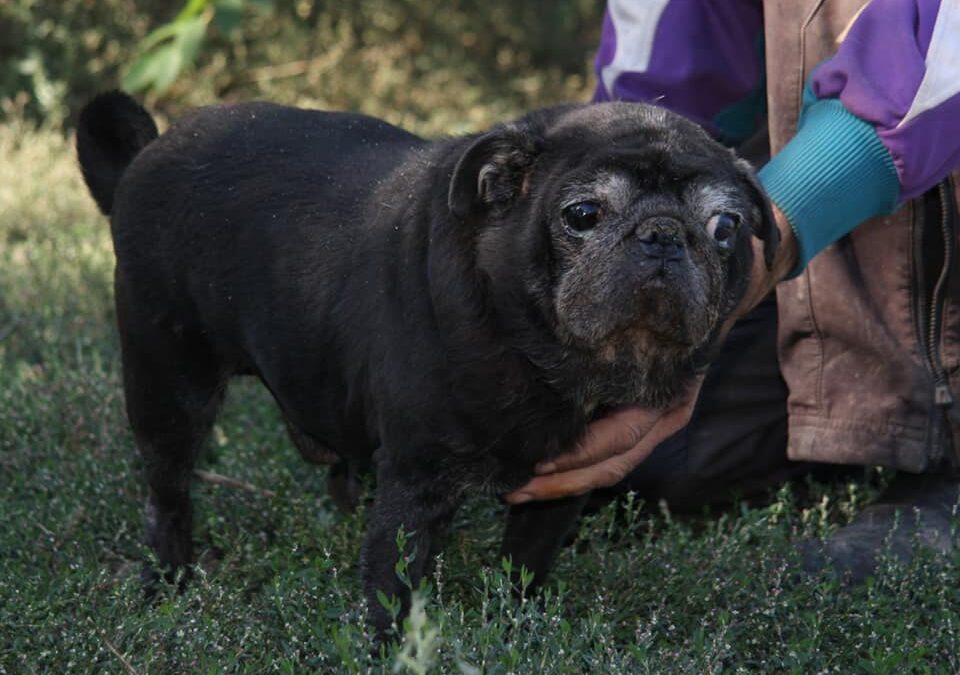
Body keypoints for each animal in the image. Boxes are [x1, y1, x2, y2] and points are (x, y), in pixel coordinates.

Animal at [77, 92, 780, 636]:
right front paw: (392, 648)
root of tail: (145, 154)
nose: (663, 235)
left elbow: (527, 559)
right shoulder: (419, 477)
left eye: (726, 227)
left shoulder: (562, 486)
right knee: (168, 490)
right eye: (583, 214)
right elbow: (396, 579)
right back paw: (170, 578)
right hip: (168, 384)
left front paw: (517, 621)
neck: (540, 349)